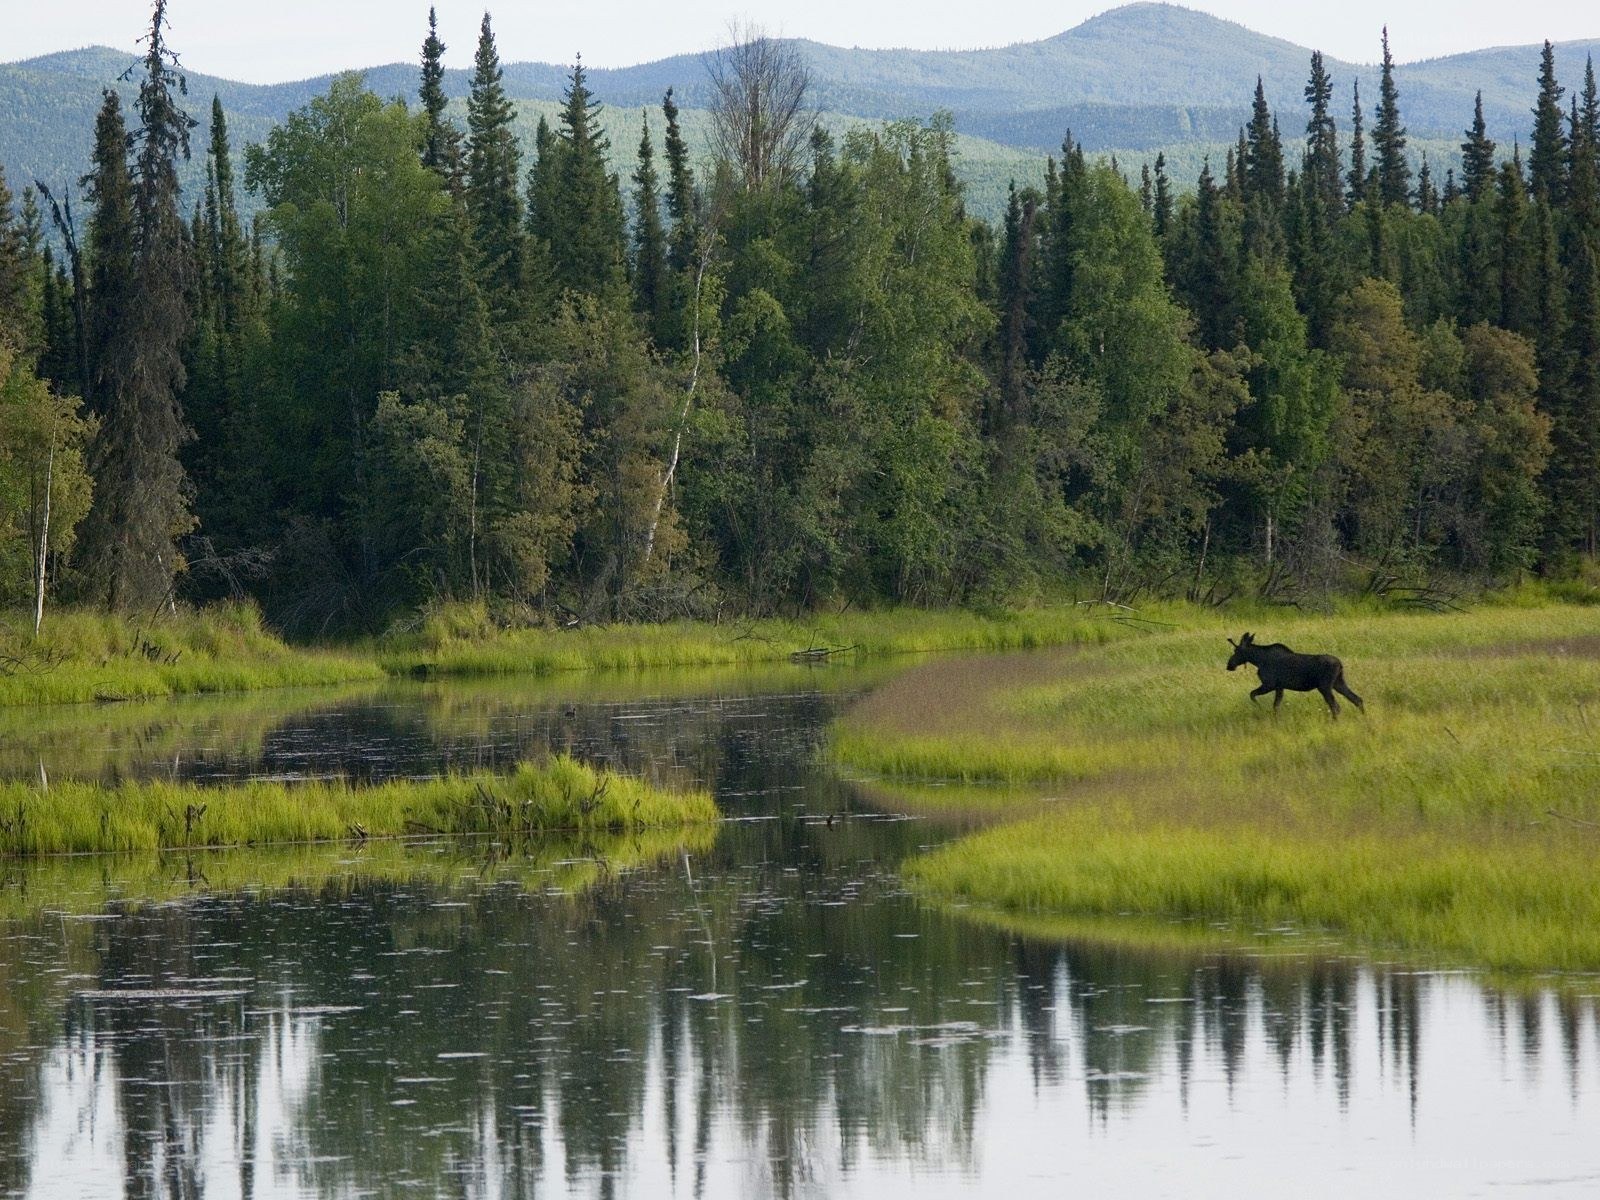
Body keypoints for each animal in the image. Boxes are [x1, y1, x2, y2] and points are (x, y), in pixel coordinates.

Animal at [1226, 632, 1364, 719]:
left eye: (1236, 651)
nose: (1229, 665)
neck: (1257, 660)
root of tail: (1340, 664)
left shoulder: (1269, 684)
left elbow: (1252, 694)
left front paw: (1260, 708)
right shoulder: (1279, 687)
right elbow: (1275, 706)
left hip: (1325, 686)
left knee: (1336, 706)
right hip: (1338, 682)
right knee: (1357, 699)